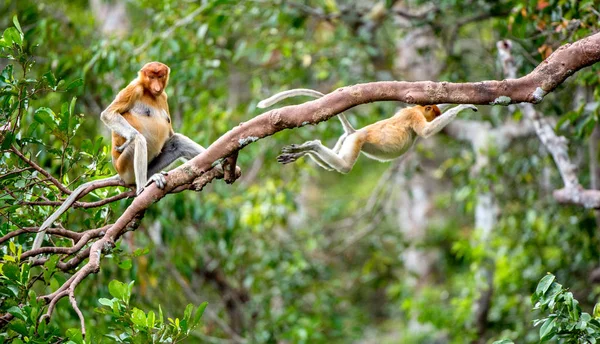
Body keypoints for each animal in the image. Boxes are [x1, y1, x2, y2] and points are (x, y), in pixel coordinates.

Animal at [34, 61, 211, 250]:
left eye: (160, 76)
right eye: (151, 77)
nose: (156, 87)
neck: (149, 93)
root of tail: (120, 175)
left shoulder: (164, 96)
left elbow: (171, 134)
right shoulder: (134, 88)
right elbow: (108, 115)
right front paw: (131, 137)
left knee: (176, 141)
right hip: (126, 166)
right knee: (139, 142)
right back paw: (143, 186)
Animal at [258, 88, 478, 175]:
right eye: (433, 114)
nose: (434, 115)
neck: (416, 109)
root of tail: (354, 131)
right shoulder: (413, 116)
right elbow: (425, 131)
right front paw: (463, 107)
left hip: (346, 140)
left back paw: (304, 149)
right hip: (357, 140)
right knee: (344, 166)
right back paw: (312, 145)